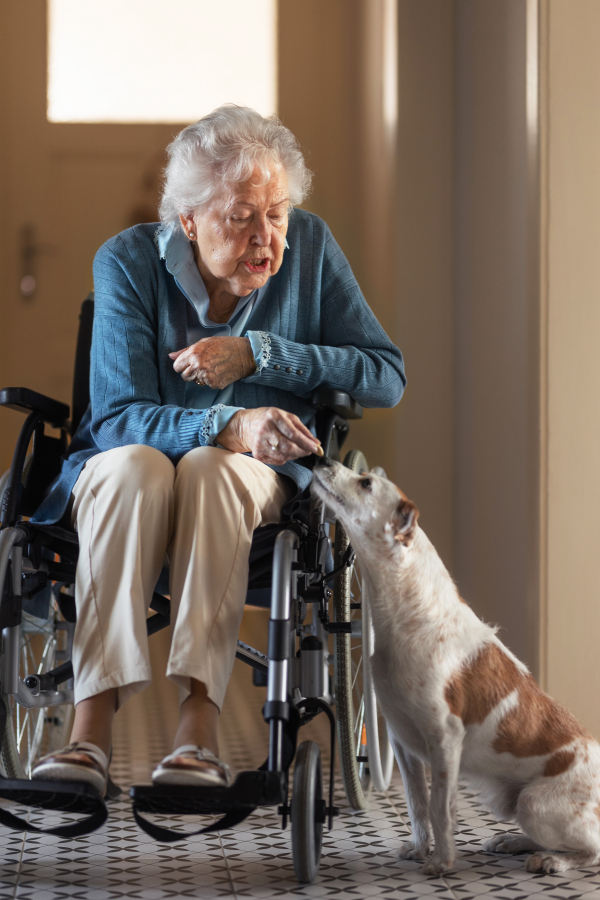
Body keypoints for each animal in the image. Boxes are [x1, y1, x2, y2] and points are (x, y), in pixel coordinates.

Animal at [312, 458, 600, 872]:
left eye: (366, 483)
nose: (321, 459)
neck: (409, 616)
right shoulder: (402, 742)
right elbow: (417, 804)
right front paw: (420, 850)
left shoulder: (444, 739)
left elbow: (439, 809)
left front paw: (442, 863)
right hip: (514, 802)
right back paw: (513, 842)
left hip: (535, 803)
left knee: (590, 848)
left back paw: (552, 861)